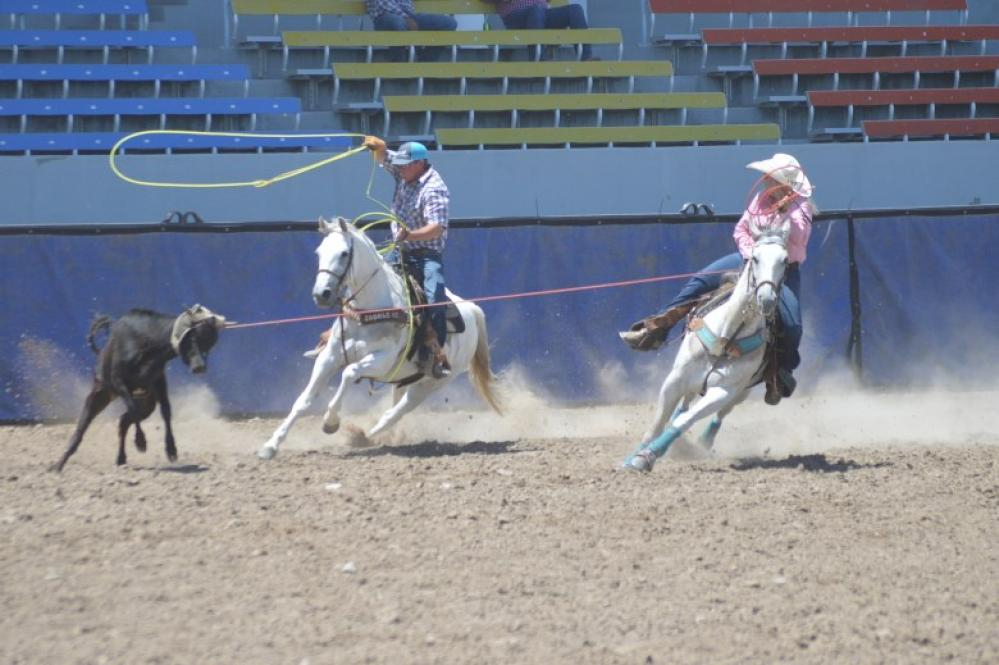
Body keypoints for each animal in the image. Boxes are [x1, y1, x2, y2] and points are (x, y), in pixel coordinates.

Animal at [55, 304, 229, 470]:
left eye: (209, 344)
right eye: (192, 339)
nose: (200, 367)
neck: (147, 343)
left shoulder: (159, 381)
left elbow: (166, 411)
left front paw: (171, 450)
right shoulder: (118, 381)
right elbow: (133, 409)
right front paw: (141, 441)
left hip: (147, 404)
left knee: (124, 421)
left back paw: (121, 458)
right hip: (99, 396)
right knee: (82, 429)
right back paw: (58, 464)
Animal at [258, 215, 500, 460]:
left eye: (344, 253)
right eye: (319, 252)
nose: (321, 294)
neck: (369, 310)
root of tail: (471, 308)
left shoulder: (382, 360)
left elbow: (348, 373)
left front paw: (330, 421)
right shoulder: (329, 357)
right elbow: (303, 400)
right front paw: (271, 445)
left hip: (433, 381)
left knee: (402, 408)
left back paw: (370, 433)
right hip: (405, 377)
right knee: (396, 402)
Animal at [620, 220, 792, 470]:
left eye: (785, 260)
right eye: (755, 258)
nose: (767, 299)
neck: (726, 335)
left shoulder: (723, 391)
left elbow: (686, 419)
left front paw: (646, 457)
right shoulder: (676, 378)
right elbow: (658, 422)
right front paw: (631, 458)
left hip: (741, 391)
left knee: (719, 413)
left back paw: (704, 441)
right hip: (693, 380)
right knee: (684, 405)